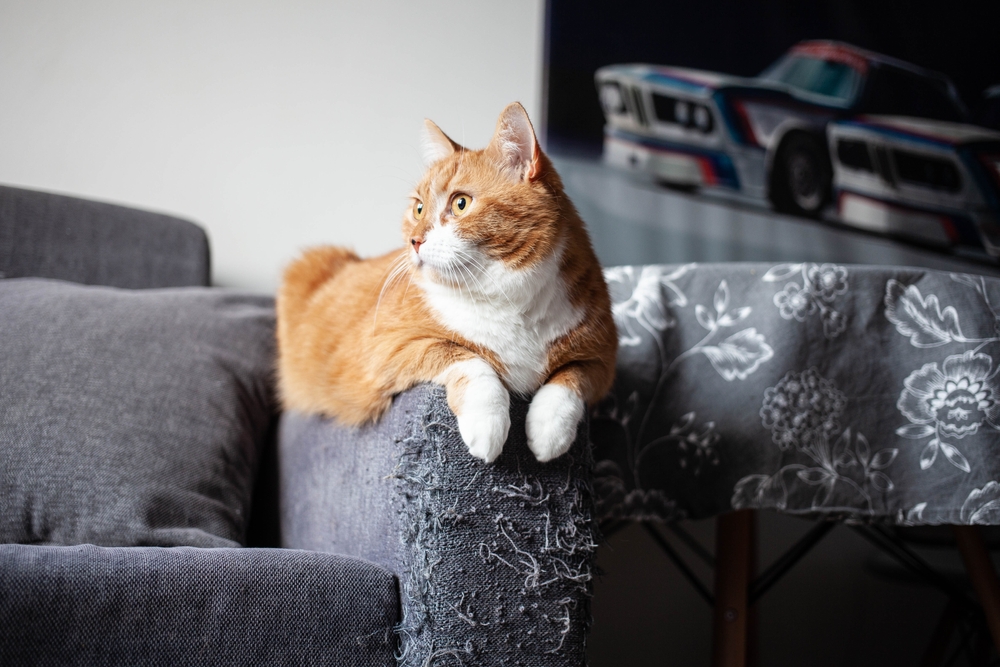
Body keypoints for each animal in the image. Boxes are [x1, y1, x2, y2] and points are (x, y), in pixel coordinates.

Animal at [276, 103, 616, 464]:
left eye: (460, 203)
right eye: (418, 208)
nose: (414, 241)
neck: (508, 300)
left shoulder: (604, 360)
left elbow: (572, 377)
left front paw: (549, 429)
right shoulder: (386, 347)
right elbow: (463, 356)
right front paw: (487, 423)